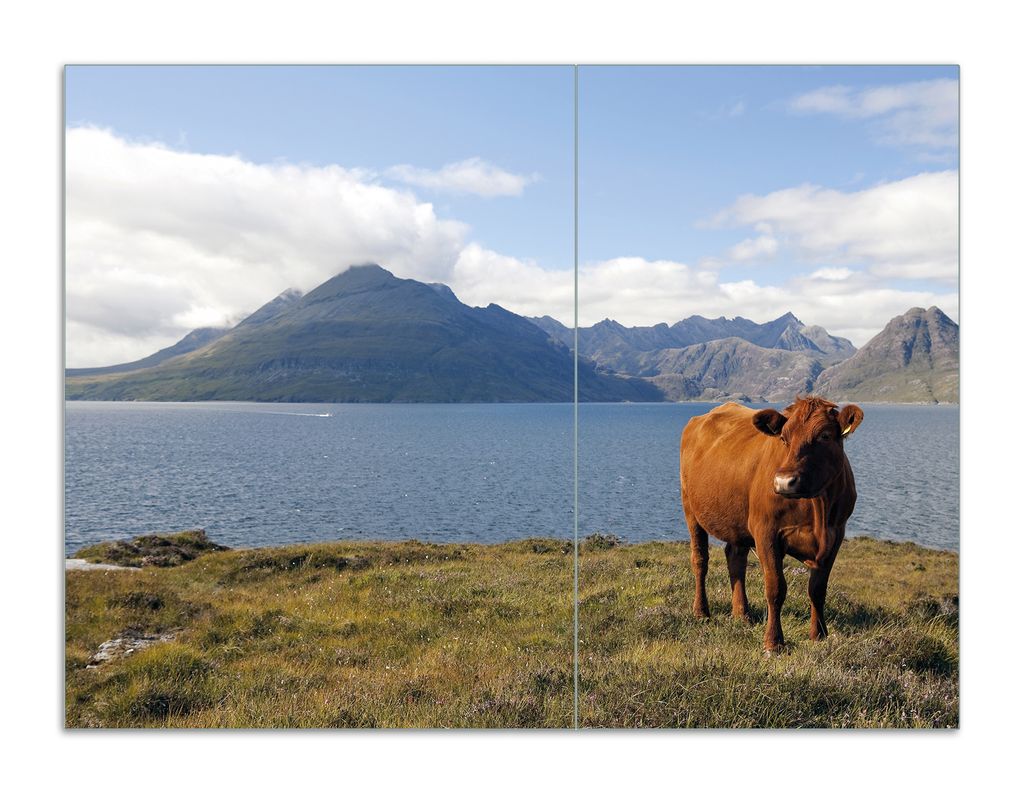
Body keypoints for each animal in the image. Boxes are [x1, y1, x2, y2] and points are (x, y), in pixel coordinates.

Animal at [679, 397, 864, 653]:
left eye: (825, 436)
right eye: (784, 438)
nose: (784, 482)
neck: (818, 508)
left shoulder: (835, 534)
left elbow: (817, 589)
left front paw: (819, 635)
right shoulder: (766, 531)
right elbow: (775, 587)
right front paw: (773, 642)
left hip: (738, 522)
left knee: (736, 559)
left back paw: (742, 614)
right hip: (691, 510)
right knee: (700, 560)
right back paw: (701, 612)